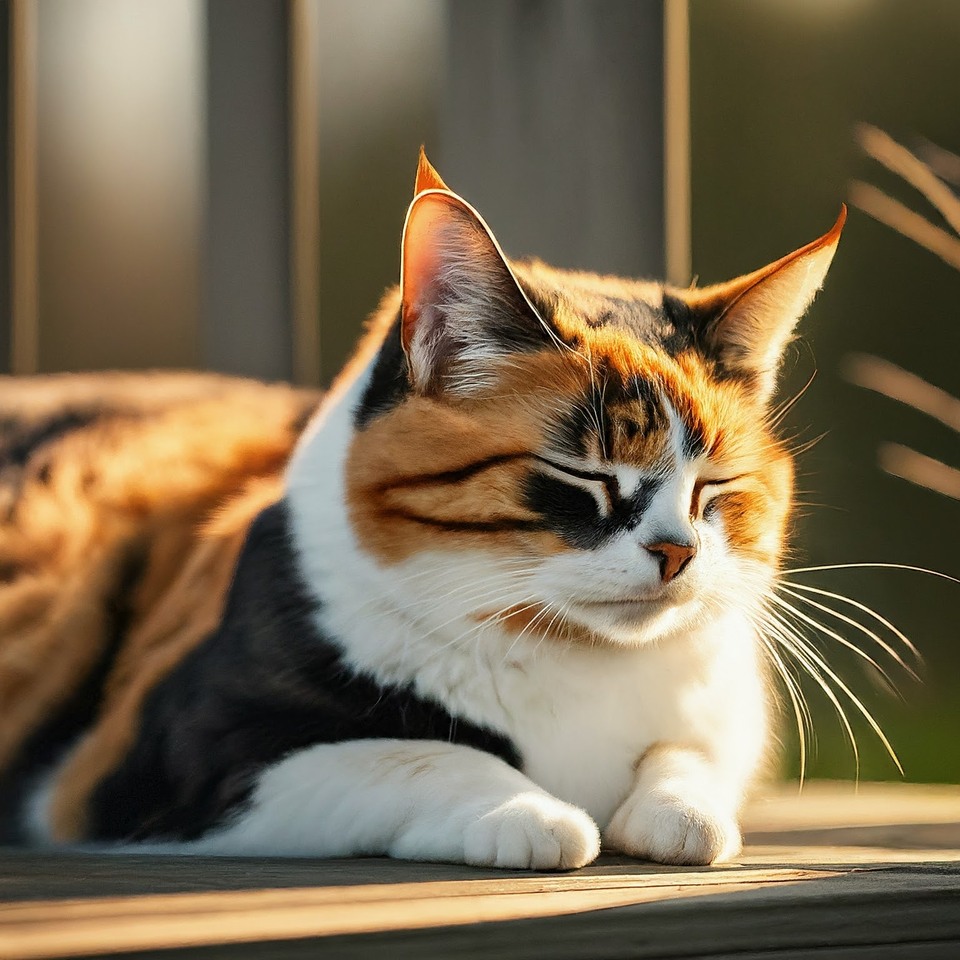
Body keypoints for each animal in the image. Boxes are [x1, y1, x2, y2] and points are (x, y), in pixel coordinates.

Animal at [0, 152, 840, 872]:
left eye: (714, 487)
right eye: (583, 475)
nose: (677, 552)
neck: (572, 663)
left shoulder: (721, 718)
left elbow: (689, 761)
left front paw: (678, 811)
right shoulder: (178, 757)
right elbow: (423, 753)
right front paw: (532, 815)